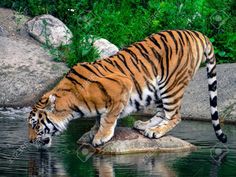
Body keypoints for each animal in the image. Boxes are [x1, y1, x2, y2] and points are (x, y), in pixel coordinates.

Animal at [27, 29, 227, 147]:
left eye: (35, 125)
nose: (29, 141)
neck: (71, 105)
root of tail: (196, 33)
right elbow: (99, 117)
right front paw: (93, 131)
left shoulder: (122, 84)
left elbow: (108, 117)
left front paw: (101, 136)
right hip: (160, 89)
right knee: (162, 112)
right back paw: (144, 125)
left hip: (172, 85)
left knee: (175, 115)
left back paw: (155, 132)